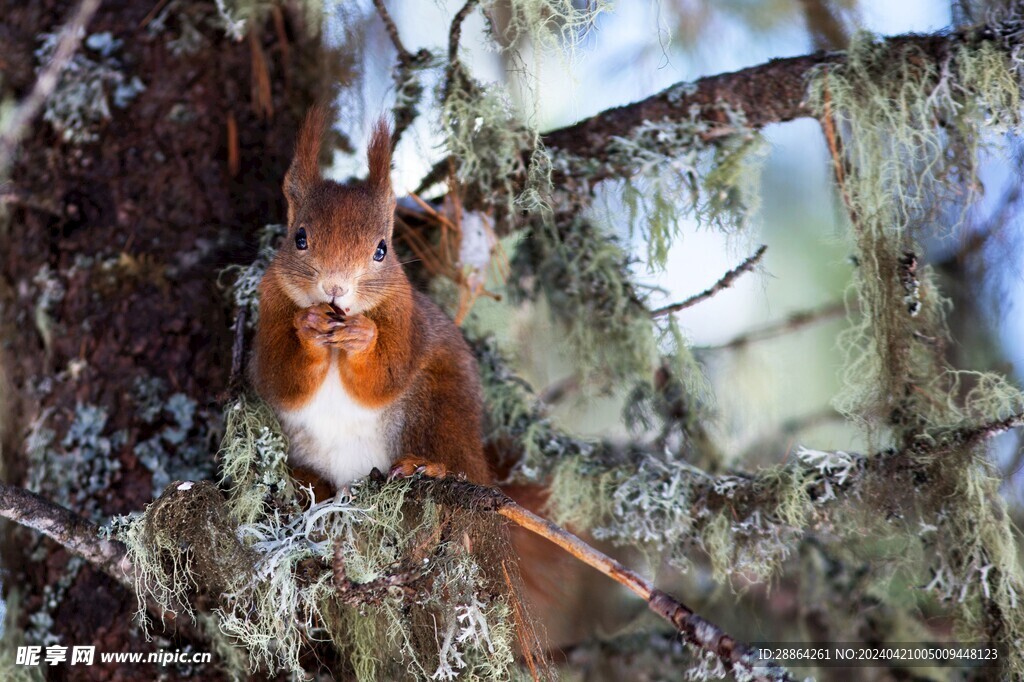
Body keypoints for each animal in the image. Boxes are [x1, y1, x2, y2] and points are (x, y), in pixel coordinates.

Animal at [253, 106, 493, 489]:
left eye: (381, 250)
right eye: (299, 238)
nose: (335, 287)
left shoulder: (404, 318)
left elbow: (384, 378)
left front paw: (363, 335)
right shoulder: (271, 306)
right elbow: (280, 378)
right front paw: (308, 324)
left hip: (441, 408)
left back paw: (426, 465)